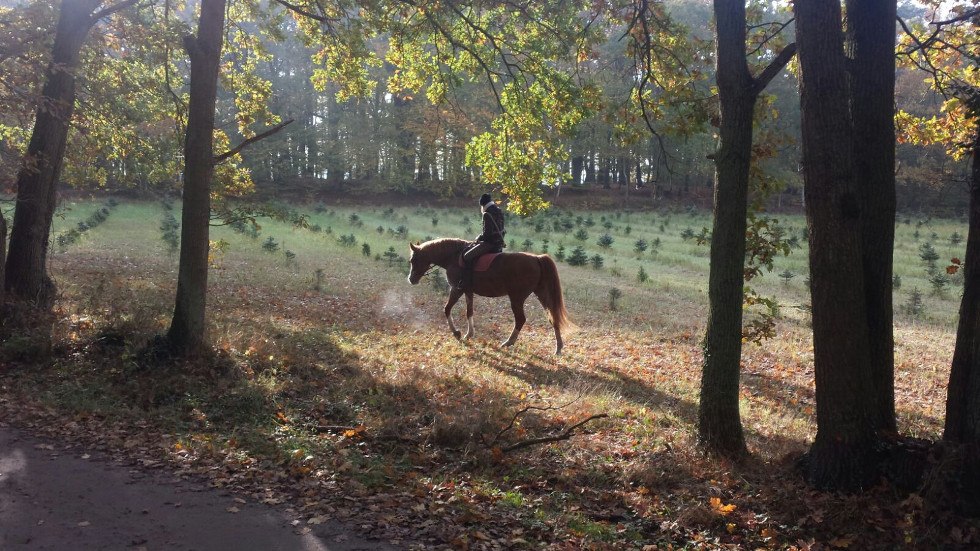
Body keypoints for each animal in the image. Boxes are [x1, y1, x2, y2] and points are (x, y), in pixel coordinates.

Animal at [408, 237, 576, 354]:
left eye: (413, 259)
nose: (411, 279)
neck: (453, 257)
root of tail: (536, 258)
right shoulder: (468, 291)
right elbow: (469, 312)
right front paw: (469, 334)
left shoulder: (456, 289)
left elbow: (447, 309)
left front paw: (456, 333)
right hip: (541, 294)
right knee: (552, 317)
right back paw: (558, 348)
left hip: (517, 298)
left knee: (521, 319)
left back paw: (508, 342)